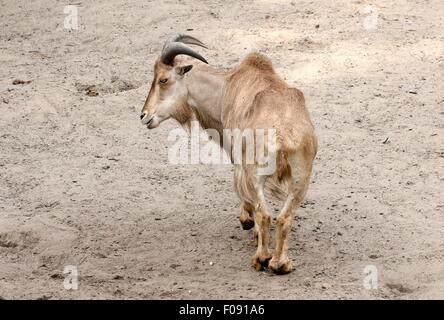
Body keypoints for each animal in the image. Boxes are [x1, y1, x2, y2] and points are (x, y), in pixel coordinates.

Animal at [140, 35, 318, 276]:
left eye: (163, 79)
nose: (144, 115)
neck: (226, 87)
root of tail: (282, 135)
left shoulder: (239, 162)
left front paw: (247, 223)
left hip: (257, 175)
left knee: (265, 214)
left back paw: (262, 259)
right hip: (301, 179)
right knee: (284, 218)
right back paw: (281, 263)